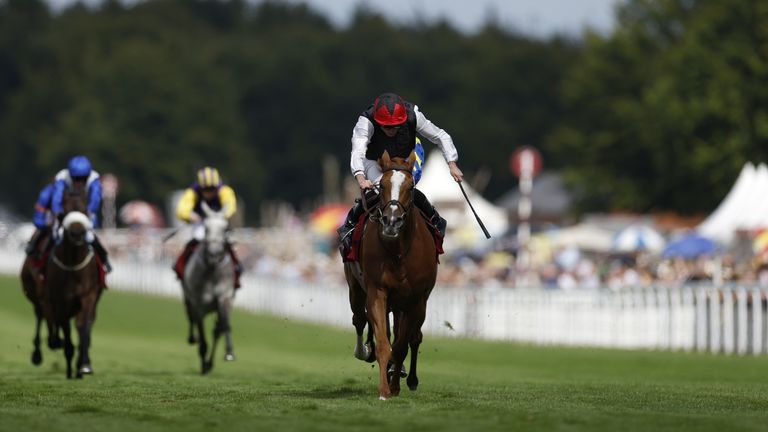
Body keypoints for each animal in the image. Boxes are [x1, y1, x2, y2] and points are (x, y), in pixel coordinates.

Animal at [44, 182, 103, 378]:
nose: (77, 233)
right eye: (65, 209)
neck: (74, 264)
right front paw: (71, 364)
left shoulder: (88, 295)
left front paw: (83, 365)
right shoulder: (61, 300)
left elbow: (82, 326)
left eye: (85, 208)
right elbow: (66, 329)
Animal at [182, 202, 236, 374]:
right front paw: (204, 363)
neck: (212, 272)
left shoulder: (224, 298)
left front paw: (229, 353)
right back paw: (194, 341)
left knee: (217, 330)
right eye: (206, 228)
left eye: (225, 229)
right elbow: (202, 335)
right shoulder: (198, 304)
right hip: (188, 298)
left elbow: (223, 326)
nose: (214, 254)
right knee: (191, 318)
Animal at [344, 150, 436, 400]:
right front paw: (385, 390)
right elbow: (385, 344)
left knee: (413, 337)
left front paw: (395, 385)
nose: (391, 222)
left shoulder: (416, 299)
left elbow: (402, 344)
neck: (399, 252)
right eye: (381, 185)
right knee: (360, 318)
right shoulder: (378, 291)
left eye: (411, 187)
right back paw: (364, 351)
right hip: (356, 288)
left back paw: (407, 376)